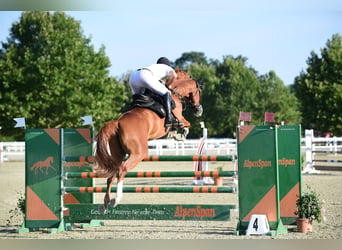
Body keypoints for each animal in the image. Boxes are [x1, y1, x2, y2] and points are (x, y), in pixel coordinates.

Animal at [95, 68, 202, 211]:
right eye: (199, 91)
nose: (199, 110)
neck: (175, 93)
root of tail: (117, 122)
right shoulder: (180, 118)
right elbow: (186, 124)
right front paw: (180, 135)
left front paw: (174, 134)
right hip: (138, 153)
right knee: (122, 170)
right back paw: (116, 199)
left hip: (118, 154)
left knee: (111, 174)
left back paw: (105, 203)